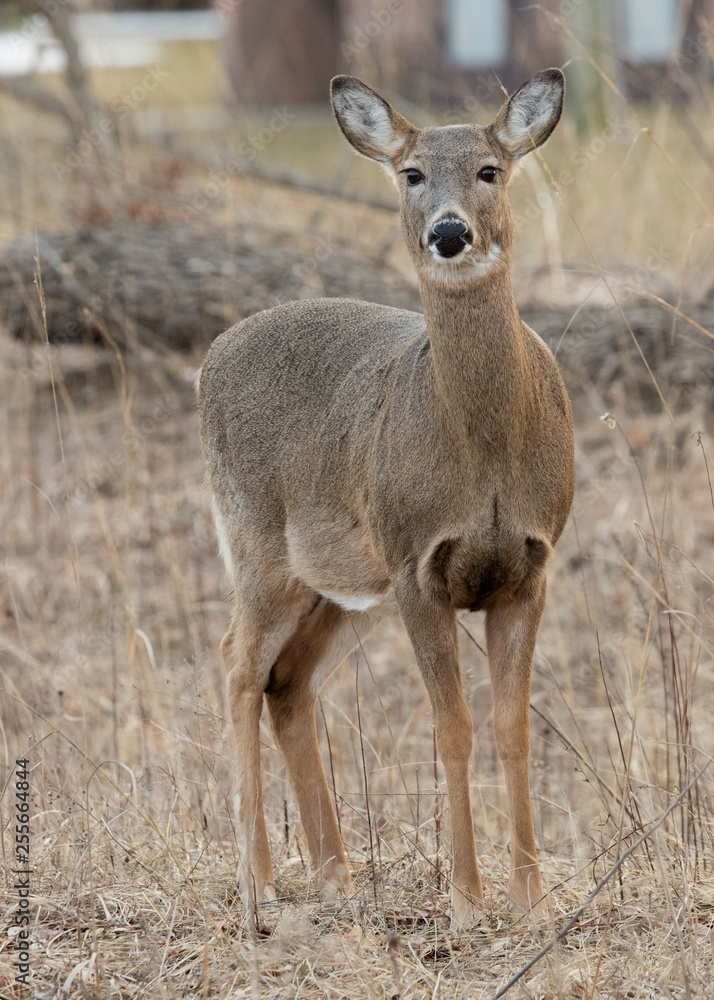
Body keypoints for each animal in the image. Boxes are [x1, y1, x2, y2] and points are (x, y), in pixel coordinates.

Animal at [197, 70, 576, 928]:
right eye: (411, 174)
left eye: (490, 169)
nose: (449, 232)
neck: (485, 455)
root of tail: (209, 358)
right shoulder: (415, 564)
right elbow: (452, 727)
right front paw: (466, 901)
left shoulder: (532, 565)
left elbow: (512, 728)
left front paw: (531, 900)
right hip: (260, 549)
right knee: (235, 664)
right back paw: (258, 885)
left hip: (340, 587)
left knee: (287, 685)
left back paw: (338, 877)